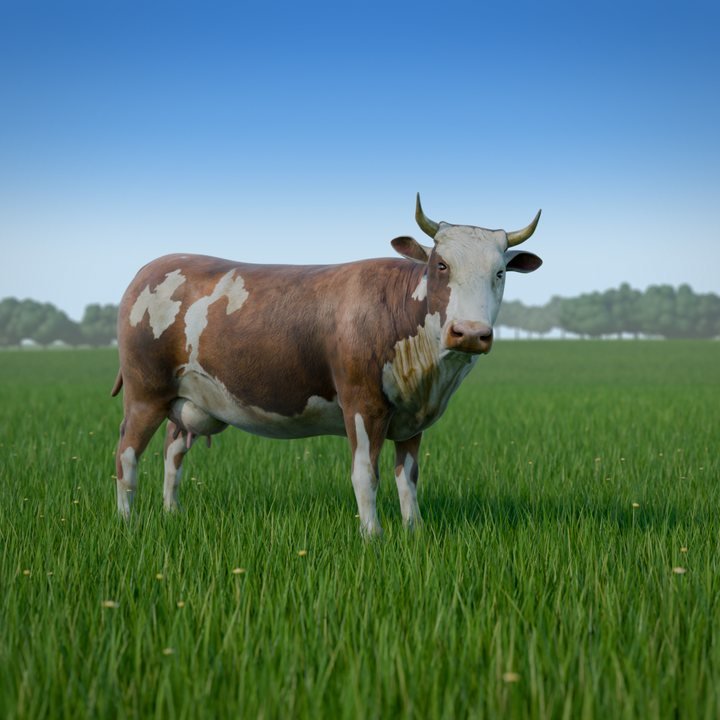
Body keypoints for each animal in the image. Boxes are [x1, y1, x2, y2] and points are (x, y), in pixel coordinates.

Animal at [111, 195, 542, 535]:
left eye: (499, 272)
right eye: (441, 266)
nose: (470, 333)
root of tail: (151, 266)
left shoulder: (412, 416)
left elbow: (409, 478)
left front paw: (414, 531)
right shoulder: (362, 403)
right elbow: (365, 474)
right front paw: (373, 537)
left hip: (188, 400)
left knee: (173, 452)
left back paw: (172, 513)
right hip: (144, 392)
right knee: (126, 455)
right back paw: (128, 523)